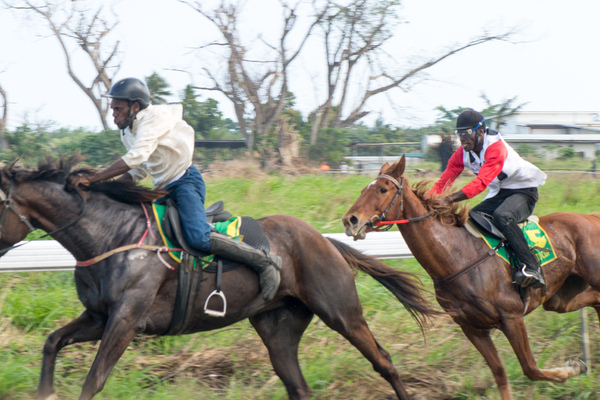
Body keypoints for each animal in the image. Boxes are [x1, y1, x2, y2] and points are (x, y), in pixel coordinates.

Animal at [0, 156, 434, 400]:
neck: (113, 236)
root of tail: (325, 240)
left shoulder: (125, 320)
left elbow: (93, 381)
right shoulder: (98, 317)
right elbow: (52, 342)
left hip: (341, 311)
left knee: (384, 361)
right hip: (277, 326)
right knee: (298, 386)